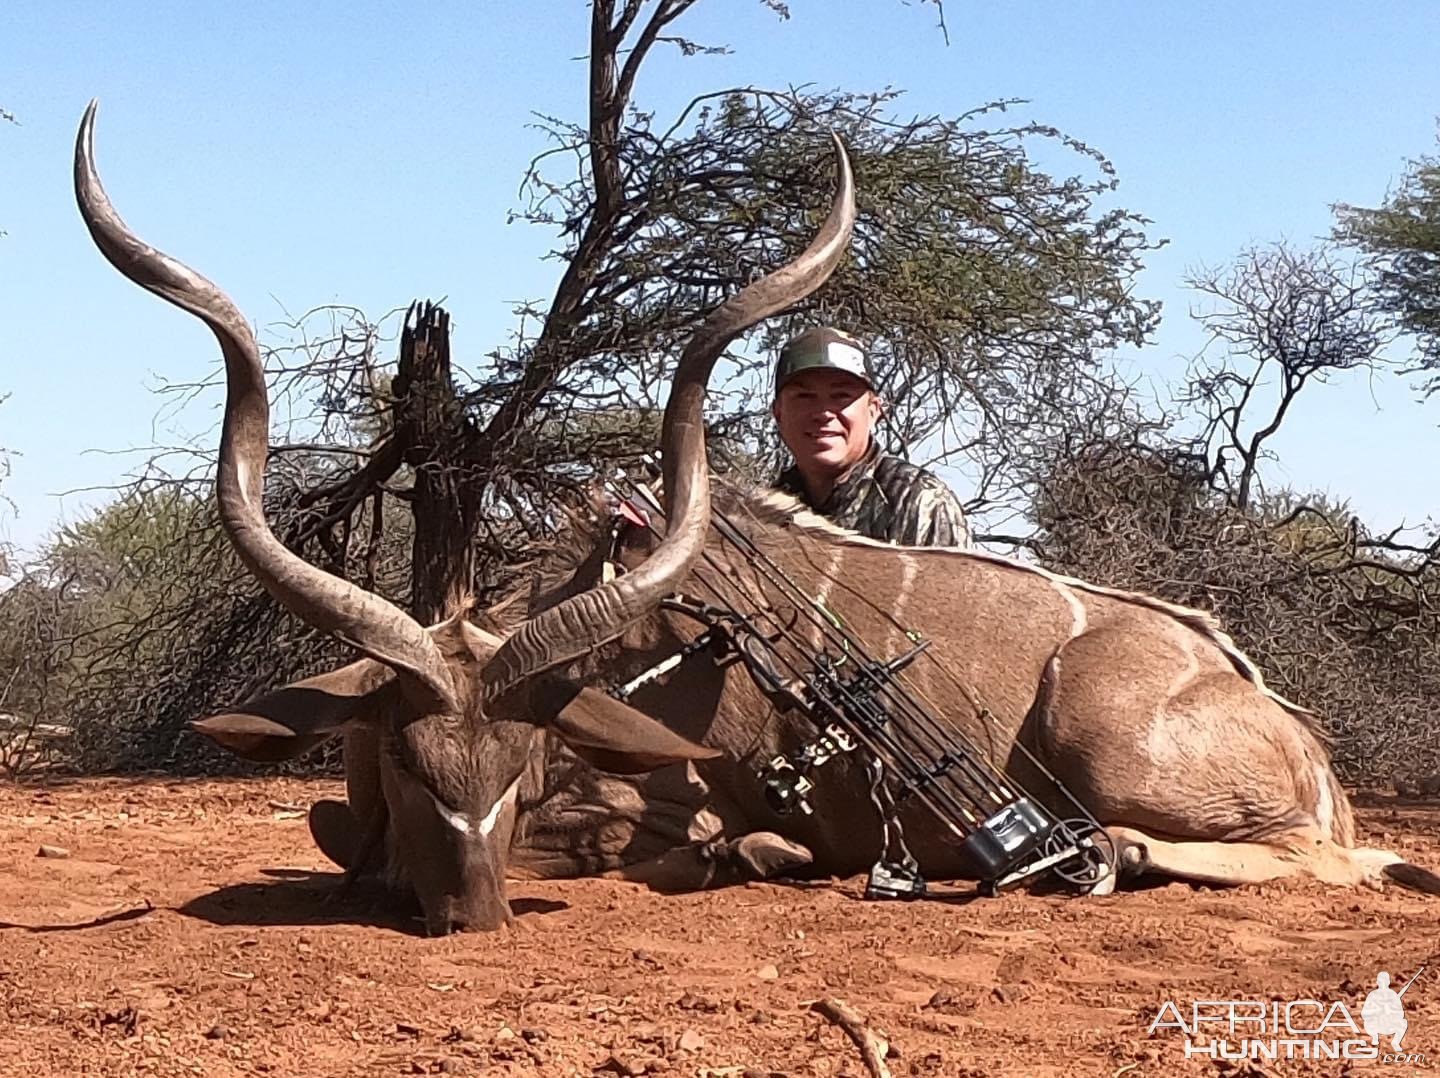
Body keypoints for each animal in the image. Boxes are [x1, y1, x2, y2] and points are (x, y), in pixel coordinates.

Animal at [75, 107, 1428, 932]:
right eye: (413, 764)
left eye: (520, 768)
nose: (474, 910)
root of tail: (1282, 722)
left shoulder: (653, 800)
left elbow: (669, 837)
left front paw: (756, 855)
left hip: (1116, 745)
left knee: (1330, 860)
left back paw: (1120, 855)